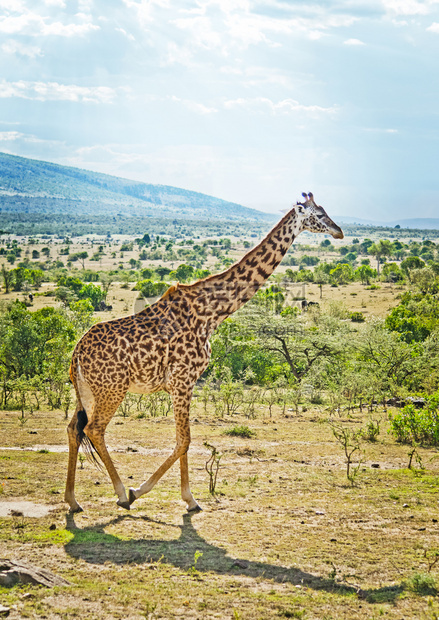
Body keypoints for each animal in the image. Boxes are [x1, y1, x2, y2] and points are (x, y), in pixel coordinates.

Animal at [64, 193, 344, 512]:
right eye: (317, 215)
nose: (339, 231)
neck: (212, 312)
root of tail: (76, 354)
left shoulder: (183, 383)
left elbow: (182, 440)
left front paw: (188, 498)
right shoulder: (182, 380)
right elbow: (184, 440)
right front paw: (159, 494)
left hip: (86, 392)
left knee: (73, 428)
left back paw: (73, 500)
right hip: (112, 389)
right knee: (94, 429)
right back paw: (123, 494)